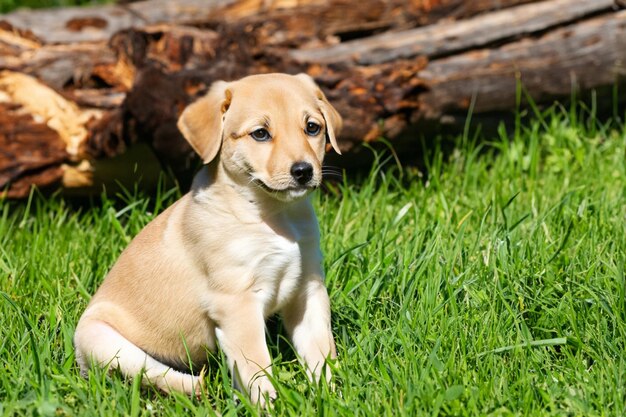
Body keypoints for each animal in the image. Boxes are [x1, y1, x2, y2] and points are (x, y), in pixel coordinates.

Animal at [75, 73, 344, 404]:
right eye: (260, 133)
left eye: (312, 127)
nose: (304, 171)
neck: (275, 215)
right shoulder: (237, 302)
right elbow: (256, 364)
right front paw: (268, 404)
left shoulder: (308, 289)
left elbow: (321, 351)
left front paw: (330, 396)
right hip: (100, 339)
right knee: (153, 373)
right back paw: (201, 388)